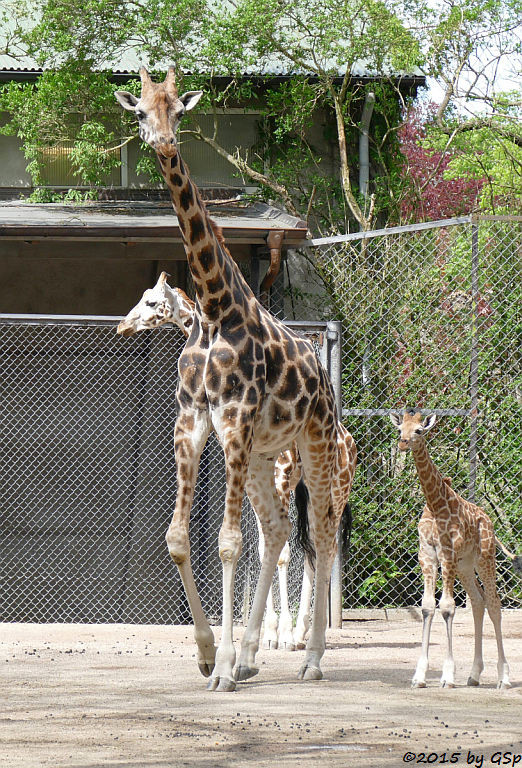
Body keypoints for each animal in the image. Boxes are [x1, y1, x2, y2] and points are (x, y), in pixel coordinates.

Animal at [116, 69, 340, 692]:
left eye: (178, 109)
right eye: (140, 112)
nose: (164, 142)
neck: (215, 309)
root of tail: (324, 376)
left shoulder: (235, 421)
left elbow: (227, 543)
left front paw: (219, 669)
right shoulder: (192, 421)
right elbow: (178, 538)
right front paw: (208, 654)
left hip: (312, 446)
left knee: (320, 533)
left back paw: (312, 659)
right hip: (267, 456)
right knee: (280, 530)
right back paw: (249, 656)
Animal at [388, 408, 516, 688]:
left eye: (419, 430)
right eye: (400, 429)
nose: (403, 443)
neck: (435, 504)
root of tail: (489, 521)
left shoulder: (446, 554)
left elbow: (447, 607)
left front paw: (447, 675)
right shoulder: (426, 555)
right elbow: (427, 606)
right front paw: (419, 676)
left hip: (484, 559)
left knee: (494, 604)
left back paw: (504, 677)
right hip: (465, 566)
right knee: (478, 602)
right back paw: (474, 674)